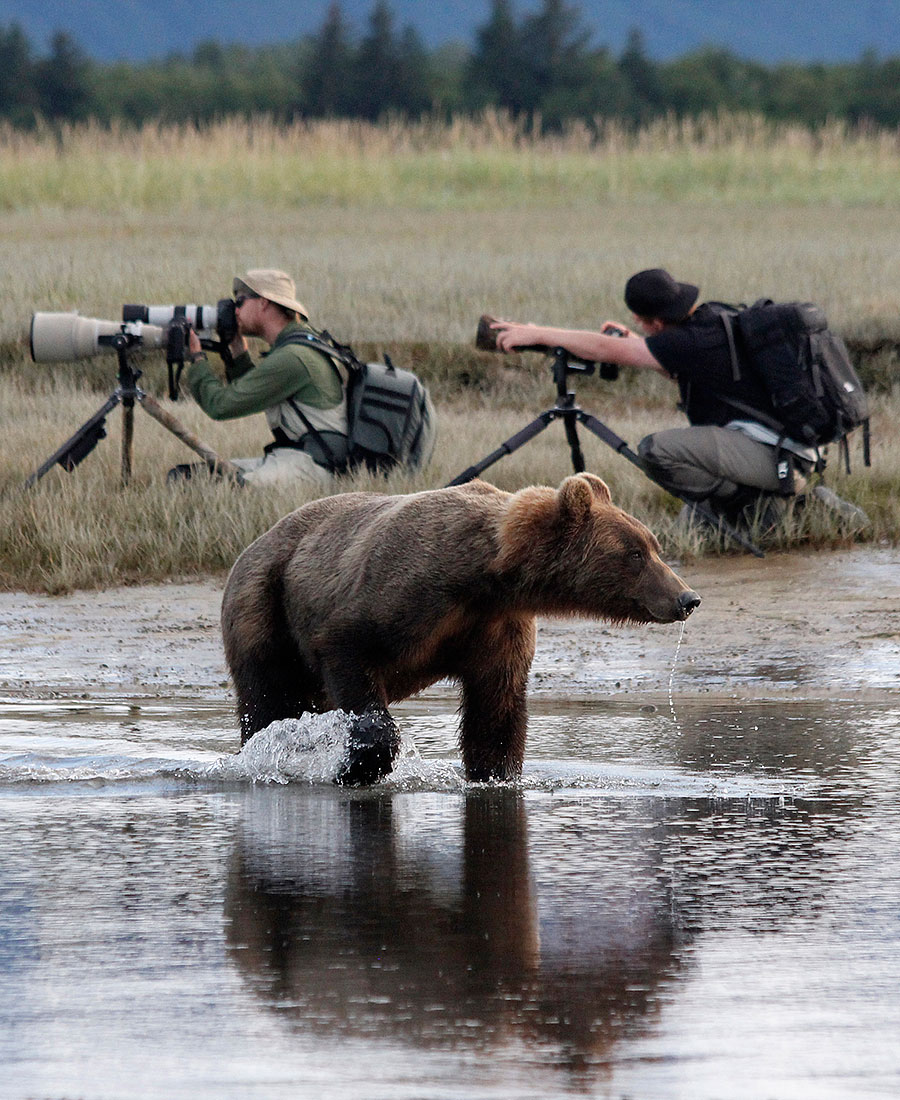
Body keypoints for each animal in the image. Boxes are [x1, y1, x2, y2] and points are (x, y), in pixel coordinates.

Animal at [221, 477, 699, 787]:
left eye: (654, 545)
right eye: (634, 553)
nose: (687, 597)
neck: (486, 577)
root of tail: (253, 543)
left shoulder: (496, 627)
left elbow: (497, 711)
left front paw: (494, 774)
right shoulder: (404, 597)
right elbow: (349, 651)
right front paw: (357, 766)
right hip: (264, 603)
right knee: (266, 697)